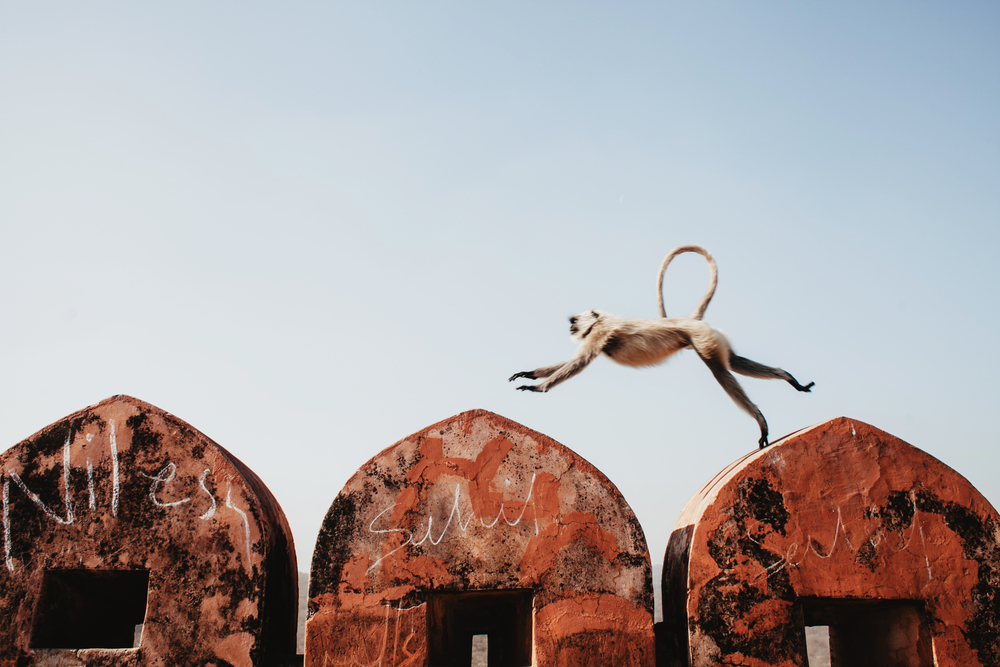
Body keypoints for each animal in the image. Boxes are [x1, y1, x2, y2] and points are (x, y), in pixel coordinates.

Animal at [508, 245, 812, 448]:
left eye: (573, 321)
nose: (570, 328)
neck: (600, 320)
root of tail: (691, 320)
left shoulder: (600, 333)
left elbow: (578, 362)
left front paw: (537, 388)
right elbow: (568, 362)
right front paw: (530, 374)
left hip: (703, 340)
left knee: (722, 373)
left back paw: (760, 418)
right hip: (714, 339)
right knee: (735, 362)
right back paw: (788, 378)